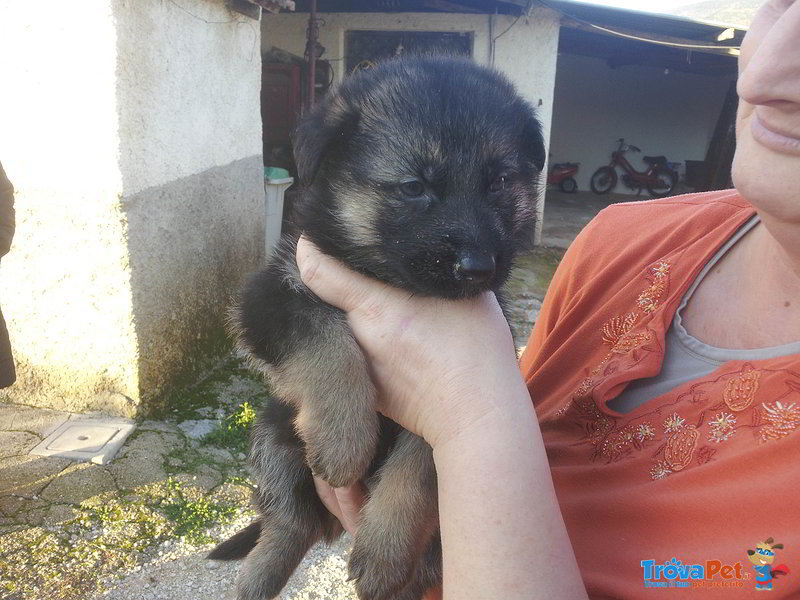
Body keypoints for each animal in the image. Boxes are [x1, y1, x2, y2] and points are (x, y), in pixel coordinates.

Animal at [209, 57, 548, 600]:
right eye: (414, 187)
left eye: (498, 182)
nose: (478, 268)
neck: (390, 281)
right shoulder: (272, 292)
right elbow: (324, 339)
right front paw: (342, 435)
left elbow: (418, 466)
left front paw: (386, 545)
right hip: (273, 433)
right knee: (289, 521)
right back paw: (257, 579)